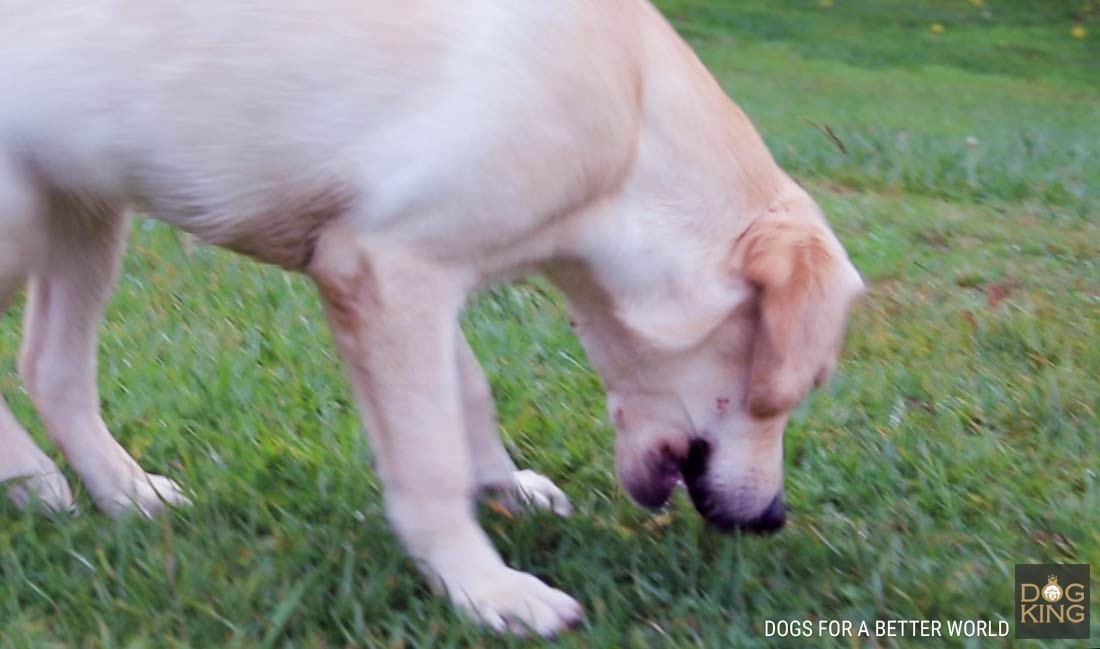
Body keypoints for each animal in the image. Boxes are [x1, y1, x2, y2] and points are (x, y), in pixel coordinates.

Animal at [0, 0, 862, 638]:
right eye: (798, 385)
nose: (772, 519)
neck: (632, 123)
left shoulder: (424, 270)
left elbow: (467, 393)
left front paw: (503, 482)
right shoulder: (386, 266)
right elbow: (428, 458)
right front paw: (485, 588)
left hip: (86, 201)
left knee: (49, 368)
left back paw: (123, 491)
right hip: (23, 212)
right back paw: (34, 480)